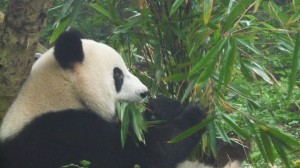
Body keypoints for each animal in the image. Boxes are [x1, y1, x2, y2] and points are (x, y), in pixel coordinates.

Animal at [0, 30, 211, 168]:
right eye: (118, 74)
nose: (144, 92)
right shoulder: (64, 132)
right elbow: (141, 154)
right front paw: (196, 116)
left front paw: (163, 107)